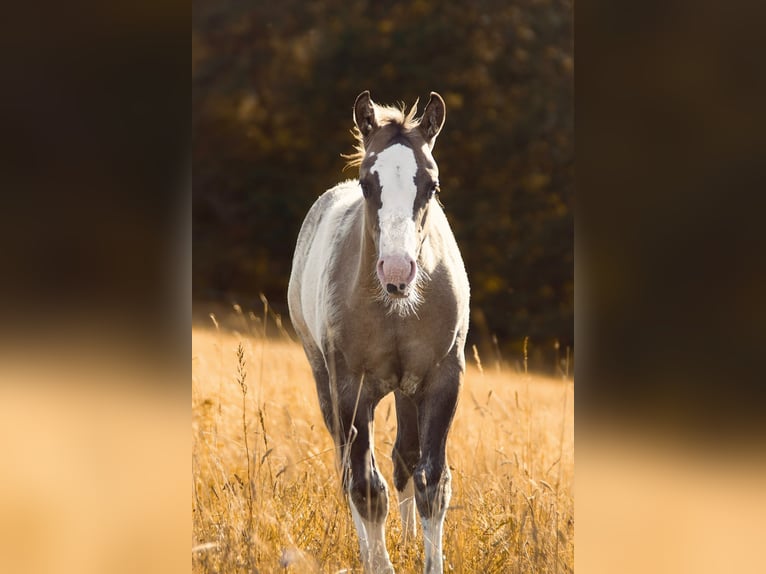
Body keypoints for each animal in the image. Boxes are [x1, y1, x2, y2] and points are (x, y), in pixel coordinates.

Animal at [288, 91, 470, 574]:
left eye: (432, 185)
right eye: (368, 183)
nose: (397, 271)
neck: (396, 309)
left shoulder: (442, 379)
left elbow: (432, 482)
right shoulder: (351, 387)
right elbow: (366, 487)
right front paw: (379, 563)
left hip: (406, 391)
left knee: (404, 457)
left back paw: (405, 539)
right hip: (325, 379)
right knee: (348, 469)